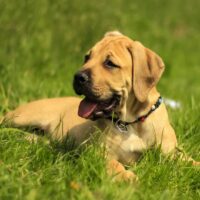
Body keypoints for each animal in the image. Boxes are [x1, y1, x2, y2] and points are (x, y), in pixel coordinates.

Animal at [1, 31, 198, 183]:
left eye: (110, 63)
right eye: (87, 57)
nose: (77, 77)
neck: (132, 122)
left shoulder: (172, 153)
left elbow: (191, 161)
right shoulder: (100, 153)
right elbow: (114, 165)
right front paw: (128, 177)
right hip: (21, 117)